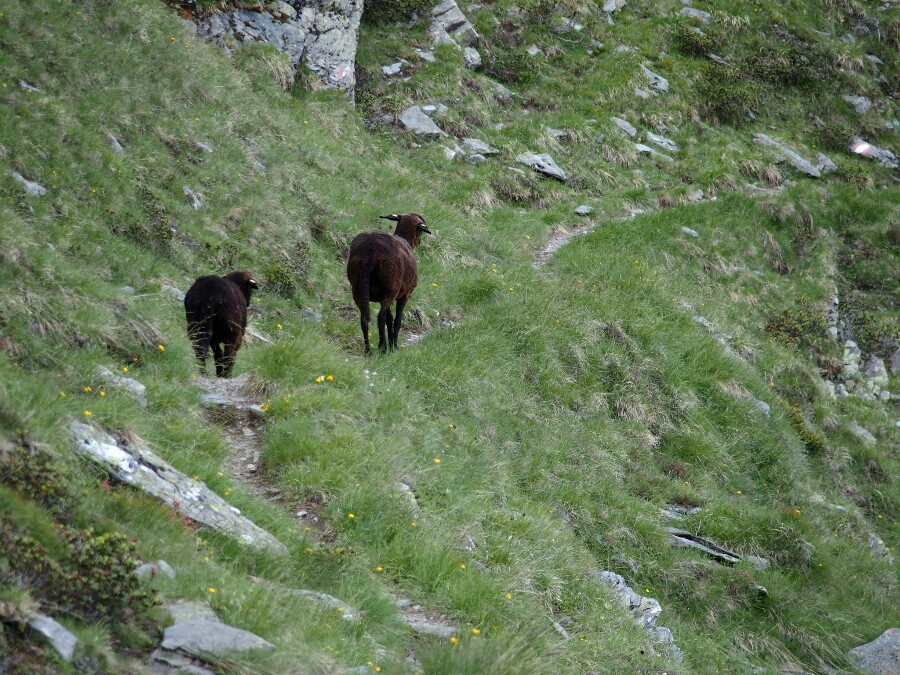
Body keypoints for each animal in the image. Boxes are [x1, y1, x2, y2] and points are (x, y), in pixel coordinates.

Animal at [347, 213, 431, 354]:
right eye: (420, 230)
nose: (419, 242)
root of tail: (370, 252)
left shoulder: (383, 297)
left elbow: (389, 318)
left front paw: (391, 343)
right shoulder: (405, 294)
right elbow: (397, 319)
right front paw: (394, 345)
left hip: (359, 288)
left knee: (364, 318)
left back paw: (368, 350)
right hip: (391, 287)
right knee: (380, 317)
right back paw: (382, 347)